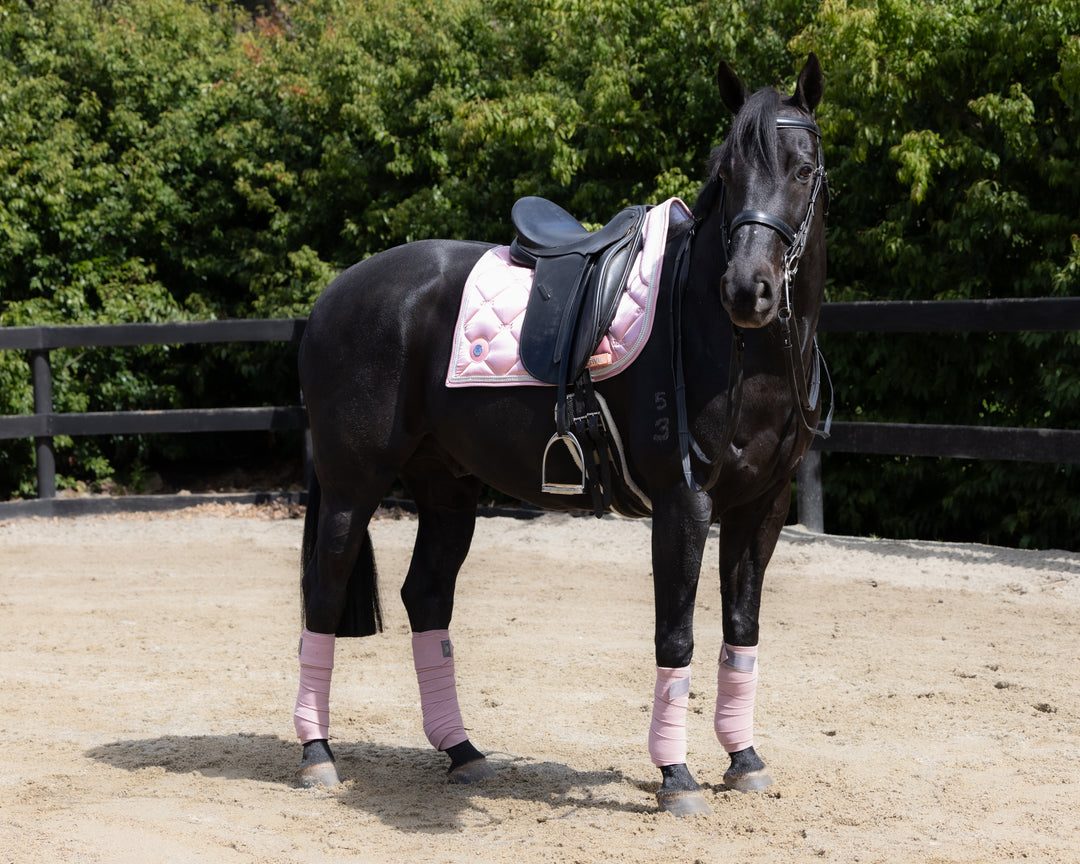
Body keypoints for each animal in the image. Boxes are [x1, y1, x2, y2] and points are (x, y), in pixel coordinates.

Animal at [291, 55, 829, 816]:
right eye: (727, 171)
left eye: (804, 169)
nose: (746, 290)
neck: (730, 346)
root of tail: (332, 298)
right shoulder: (683, 503)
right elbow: (676, 635)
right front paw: (676, 776)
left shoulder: (764, 506)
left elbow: (740, 629)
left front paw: (743, 758)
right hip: (350, 487)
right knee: (325, 592)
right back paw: (317, 753)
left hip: (447, 491)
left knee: (426, 597)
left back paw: (462, 751)